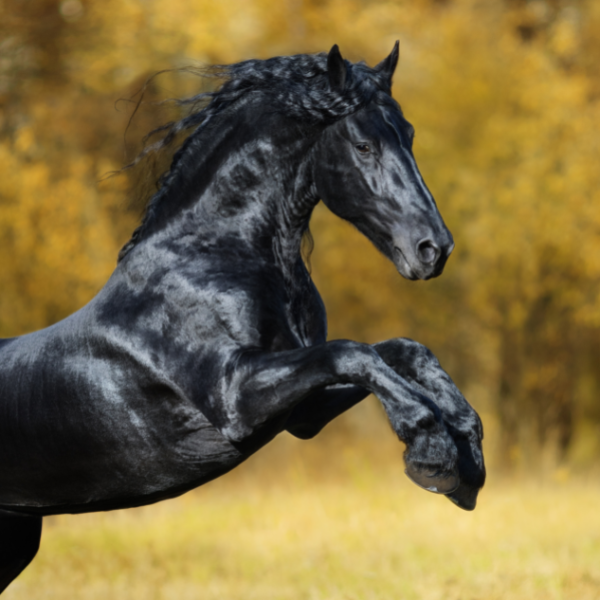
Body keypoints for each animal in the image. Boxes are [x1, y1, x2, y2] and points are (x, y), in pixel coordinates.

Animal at [0, 44, 486, 592]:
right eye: (363, 145)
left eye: (409, 135)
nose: (433, 249)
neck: (217, 256)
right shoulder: (234, 396)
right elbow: (351, 352)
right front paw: (431, 450)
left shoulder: (303, 411)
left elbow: (398, 350)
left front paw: (467, 450)